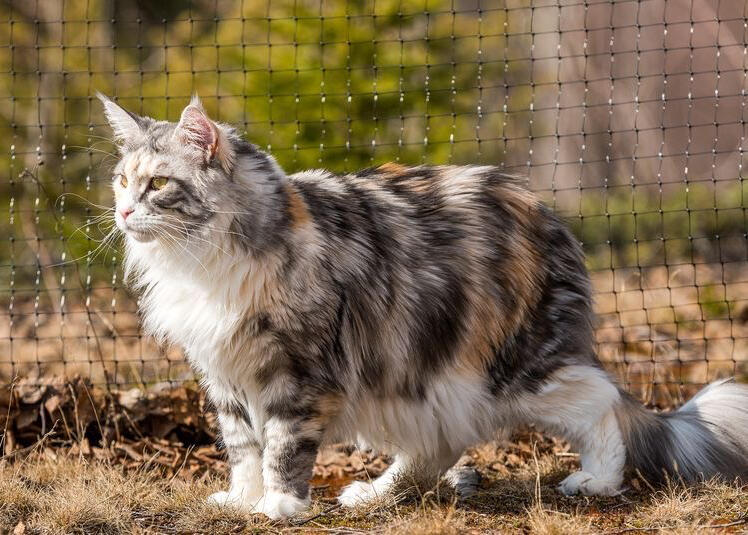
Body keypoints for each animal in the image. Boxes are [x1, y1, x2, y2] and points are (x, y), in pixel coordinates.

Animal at [100, 94, 748, 520]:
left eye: (158, 184)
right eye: (122, 180)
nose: (124, 212)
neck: (205, 262)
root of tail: (549, 216)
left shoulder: (297, 372)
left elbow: (282, 444)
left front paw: (281, 503)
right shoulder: (225, 373)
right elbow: (243, 448)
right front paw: (243, 498)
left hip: (509, 370)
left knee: (600, 400)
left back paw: (598, 480)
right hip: (419, 376)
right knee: (440, 444)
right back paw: (376, 493)